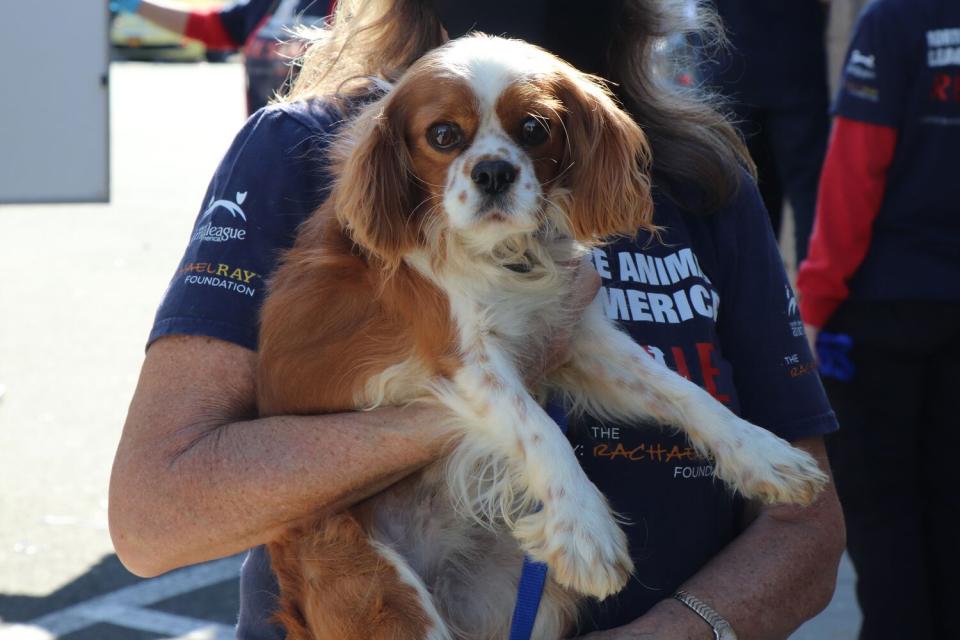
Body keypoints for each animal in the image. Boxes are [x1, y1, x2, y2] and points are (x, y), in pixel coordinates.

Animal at [258, 35, 828, 640]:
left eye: (534, 129)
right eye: (443, 135)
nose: (492, 171)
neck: (505, 255)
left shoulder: (573, 334)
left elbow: (682, 391)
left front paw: (765, 455)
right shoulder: (464, 359)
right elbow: (537, 427)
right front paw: (584, 528)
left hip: (531, 597)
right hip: (381, 592)